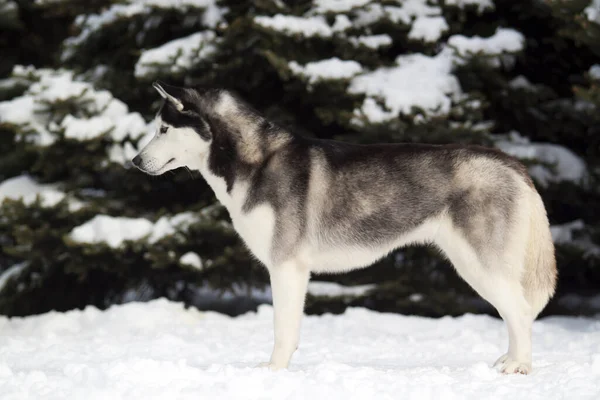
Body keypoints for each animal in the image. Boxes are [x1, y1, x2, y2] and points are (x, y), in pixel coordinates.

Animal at [134, 81, 556, 376]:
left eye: (163, 129)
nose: (135, 161)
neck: (256, 161)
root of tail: (509, 161)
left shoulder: (286, 266)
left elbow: (283, 329)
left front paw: (274, 372)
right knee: (515, 312)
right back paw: (509, 359)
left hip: (480, 264)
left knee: (520, 310)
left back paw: (520, 366)